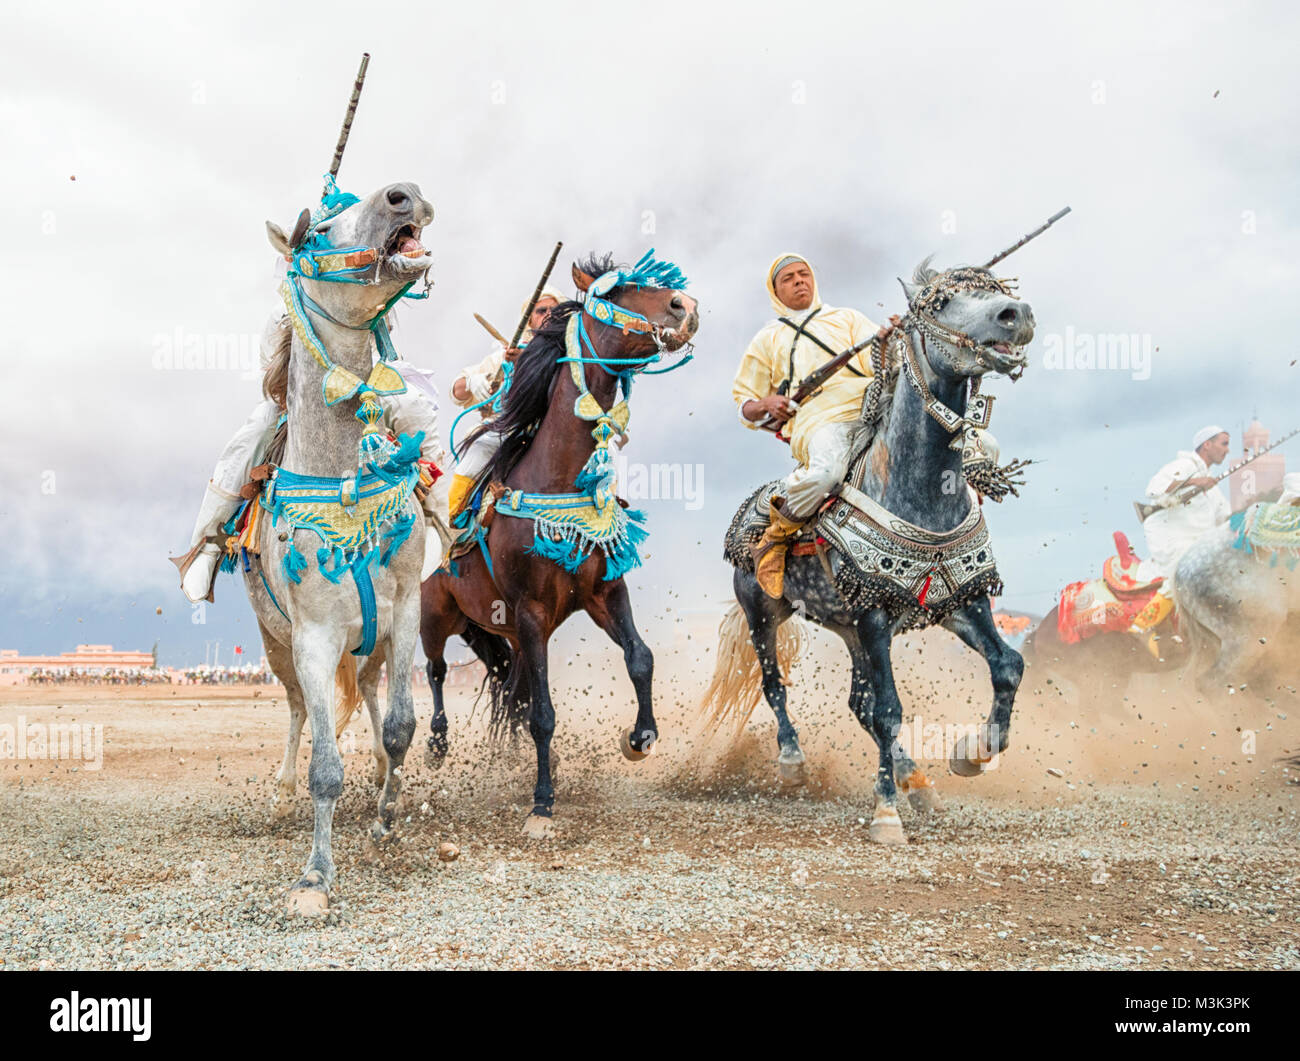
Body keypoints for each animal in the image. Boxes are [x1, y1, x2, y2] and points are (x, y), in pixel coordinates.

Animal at [421, 250, 696, 837]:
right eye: (618, 292)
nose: (685, 305)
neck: (560, 478)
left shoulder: (604, 593)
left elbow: (640, 658)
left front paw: (640, 737)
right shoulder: (530, 610)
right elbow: (545, 714)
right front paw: (542, 802)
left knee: (512, 687)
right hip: (436, 615)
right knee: (435, 671)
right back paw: (435, 743)